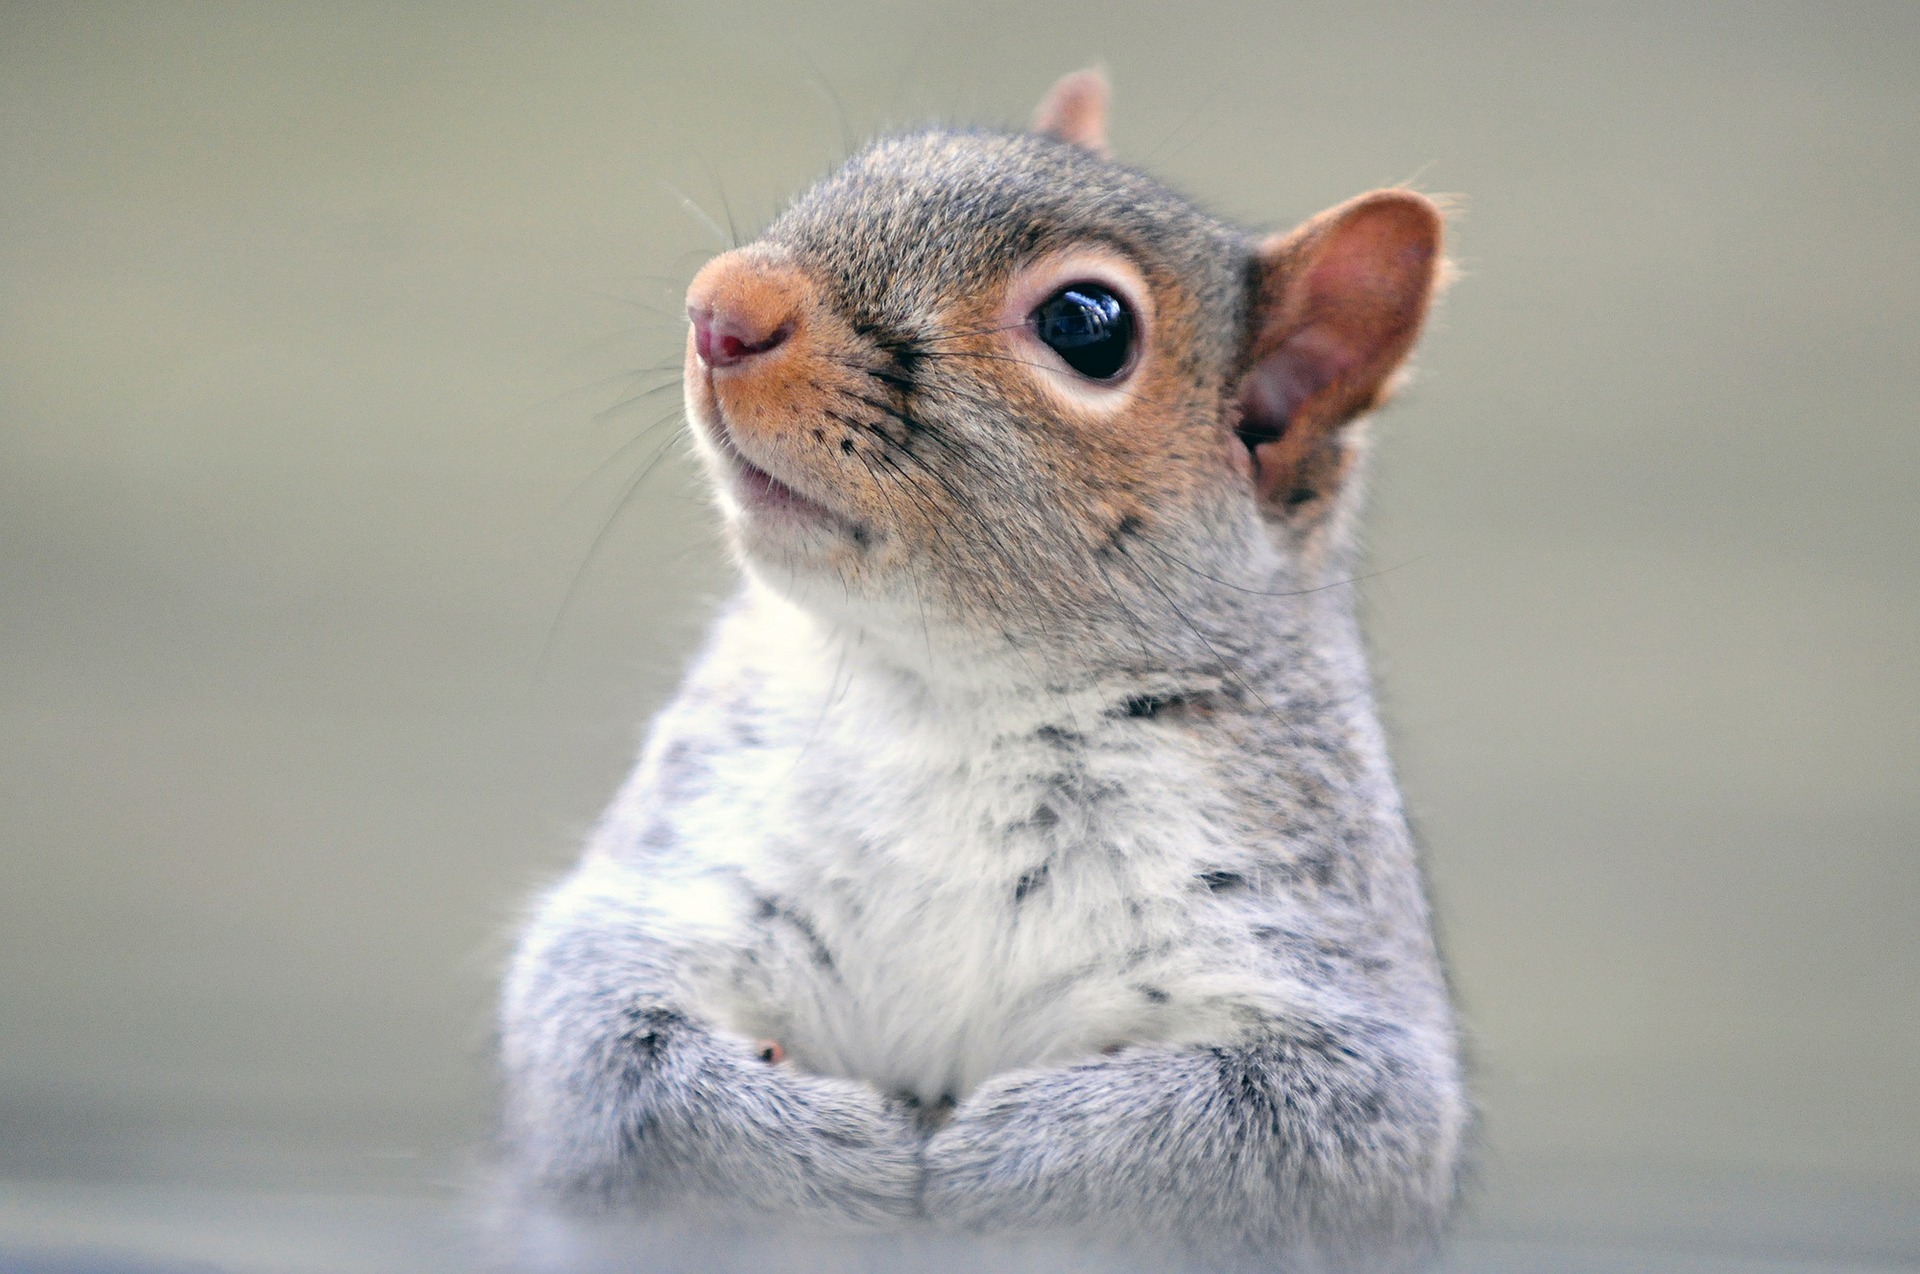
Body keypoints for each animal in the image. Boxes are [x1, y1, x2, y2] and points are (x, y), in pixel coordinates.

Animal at [499, 71, 1466, 1274]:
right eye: (872, 162)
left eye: (1088, 325)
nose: (721, 304)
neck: (953, 696)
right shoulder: (679, 870)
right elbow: (595, 1040)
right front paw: (820, 1149)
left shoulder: (1322, 966)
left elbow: (1299, 1127)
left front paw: (1022, 1161)